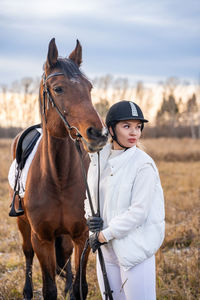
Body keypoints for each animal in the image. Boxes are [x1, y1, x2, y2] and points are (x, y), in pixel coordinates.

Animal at [10, 38, 108, 298]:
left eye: (89, 88)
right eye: (58, 89)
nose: (98, 133)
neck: (59, 177)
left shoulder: (82, 236)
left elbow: (79, 288)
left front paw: (70, 287)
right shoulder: (42, 239)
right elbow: (48, 289)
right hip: (24, 227)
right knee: (27, 254)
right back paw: (26, 291)